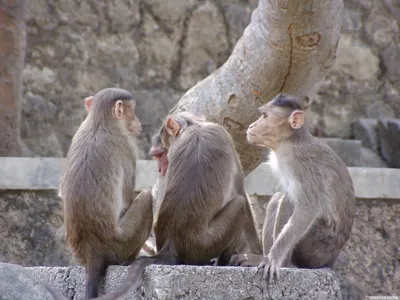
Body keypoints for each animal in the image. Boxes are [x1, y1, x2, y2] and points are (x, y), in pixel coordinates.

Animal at [44, 88, 154, 298]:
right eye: (132, 110)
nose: (137, 121)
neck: (99, 121)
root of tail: (92, 252)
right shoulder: (127, 146)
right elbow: (128, 199)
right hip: (120, 244)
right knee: (146, 197)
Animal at [230, 94, 354, 284]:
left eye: (265, 116)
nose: (251, 125)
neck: (290, 142)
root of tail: (329, 262)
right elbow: (288, 197)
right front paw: (267, 258)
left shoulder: (304, 166)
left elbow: (308, 208)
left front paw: (274, 259)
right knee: (280, 200)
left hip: (317, 247)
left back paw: (287, 264)